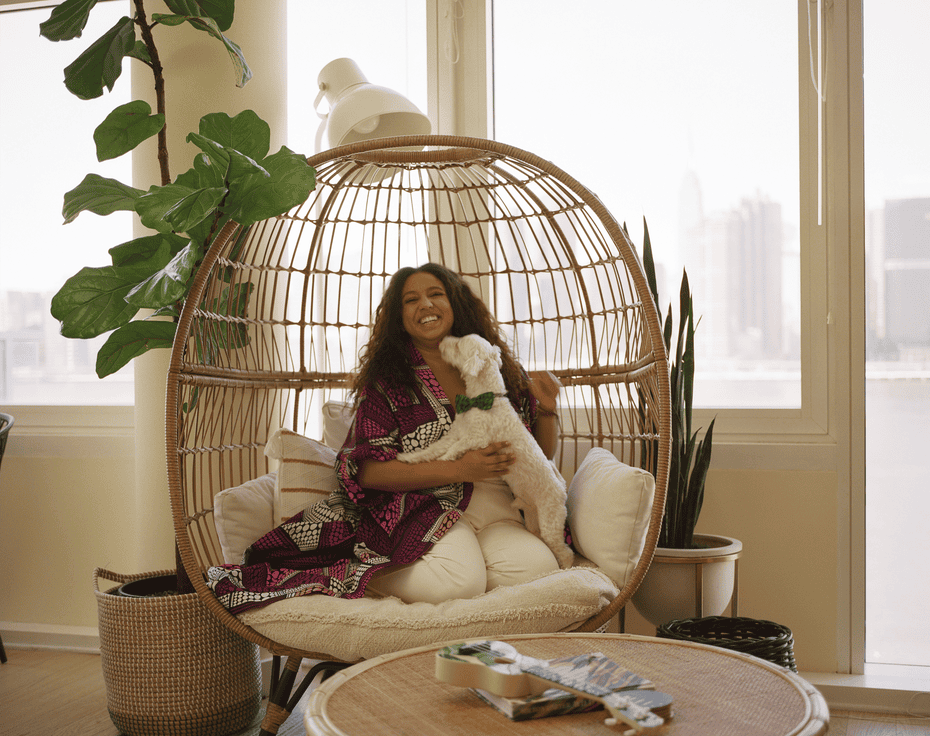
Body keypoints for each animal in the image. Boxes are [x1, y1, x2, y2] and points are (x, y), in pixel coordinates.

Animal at [396, 334, 576, 568]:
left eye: (458, 344)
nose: (443, 339)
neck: (481, 399)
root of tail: (562, 488)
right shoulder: (455, 434)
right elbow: (431, 449)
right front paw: (409, 457)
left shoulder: (477, 438)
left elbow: (454, 449)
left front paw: (447, 459)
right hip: (532, 516)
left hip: (550, 519)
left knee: (565, 552)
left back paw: (567, 567)